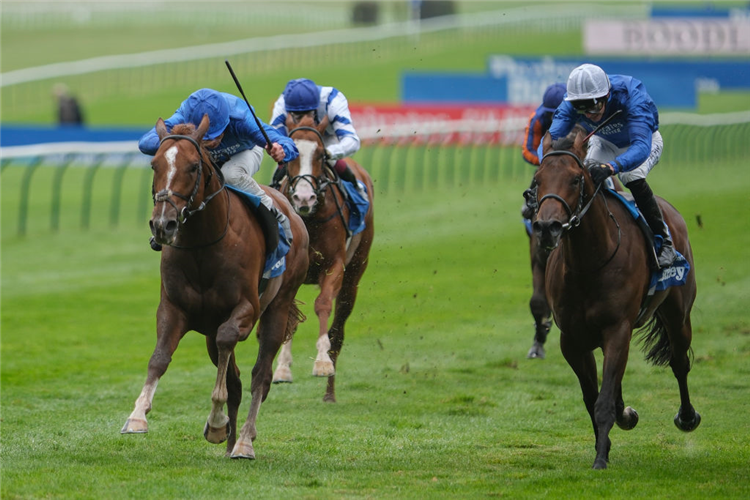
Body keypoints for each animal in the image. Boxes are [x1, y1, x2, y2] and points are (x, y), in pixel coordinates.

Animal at [122, 115, 310, 458]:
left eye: (194, 166)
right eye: (155, 164)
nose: (163, 224)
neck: (203, 245)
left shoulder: (245, 311)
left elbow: (230, 351)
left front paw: (217, 421)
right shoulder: (173, 308)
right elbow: (159, 357)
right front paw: (137, 416)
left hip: (278, 307)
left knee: (261, 376)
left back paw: (245, 441)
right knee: (235, 376)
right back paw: (232, 442)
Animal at [272, 113, 374, 402]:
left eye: (320, 154)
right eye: (290, 154)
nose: (304, 198)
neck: (310, 218)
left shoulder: (334, 266)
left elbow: (323, 306)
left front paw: (321, 363)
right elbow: (289, 314)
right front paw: (282, 368)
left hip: (354, 274)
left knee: (338, 329)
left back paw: (330, 392)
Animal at [532, 126, 704, 468]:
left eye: (576, 179)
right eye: (538, 179)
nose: (546, 227)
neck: (588, 262)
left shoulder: (617, 328)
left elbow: (603, 400)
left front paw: (600, 458)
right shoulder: (572, 339)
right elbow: (593, 397)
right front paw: (607, 442)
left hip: (678, 314)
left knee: (679, 362)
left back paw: (687, 416)